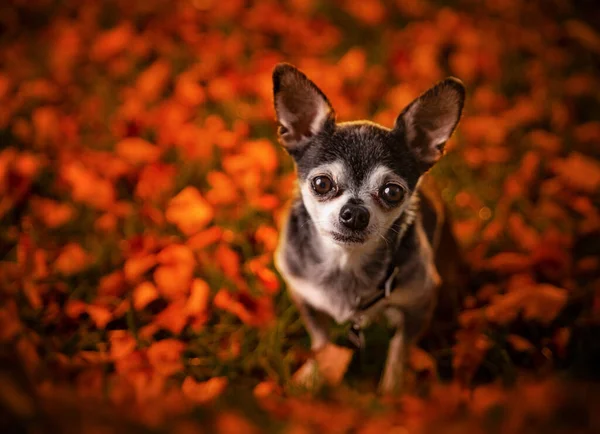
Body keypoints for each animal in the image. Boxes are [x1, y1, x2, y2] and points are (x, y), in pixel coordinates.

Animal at [274, 63, 466, 394]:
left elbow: (400, 349)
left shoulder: (420, 302)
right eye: (321, 183)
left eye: (392, 191)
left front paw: (391, 392)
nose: (354, 213)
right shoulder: (303, 295)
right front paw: (313, 375)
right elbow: (321, 340)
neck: (345, 262)